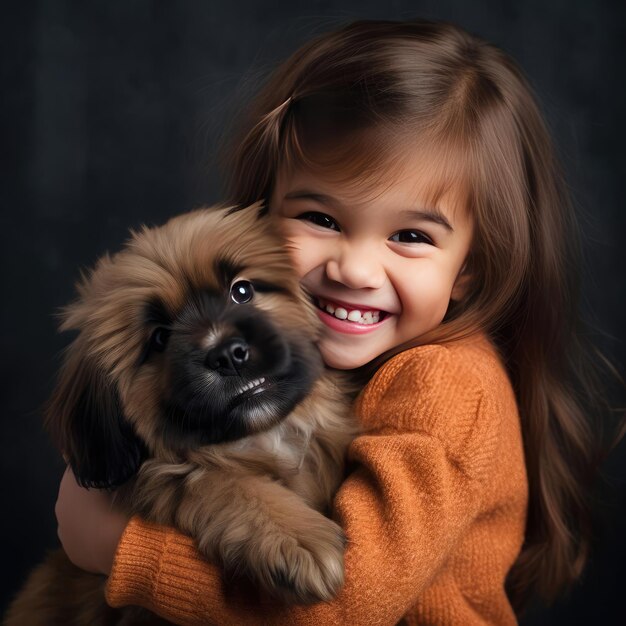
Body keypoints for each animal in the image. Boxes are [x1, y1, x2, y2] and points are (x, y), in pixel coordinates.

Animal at [4, 202, 356, 620]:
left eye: (242, 291)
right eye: (160, 338)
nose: (227, 355)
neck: (263, 437)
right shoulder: (168, 473)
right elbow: (222, 481)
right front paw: (297, 537)